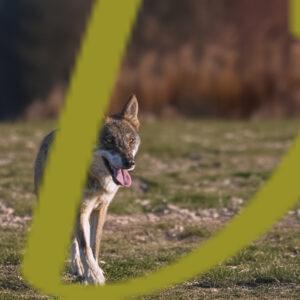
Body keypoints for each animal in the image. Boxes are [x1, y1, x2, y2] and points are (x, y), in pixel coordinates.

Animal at [33, 95, 141, 284]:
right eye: (109, 140)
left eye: (130, 141)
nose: (129, 163)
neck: (96, 180)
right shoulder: (79, 209)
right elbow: (84, 245)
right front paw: (94, 275)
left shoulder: (101, 208)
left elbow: (93, 244)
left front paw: (93, 271)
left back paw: (78, 268)